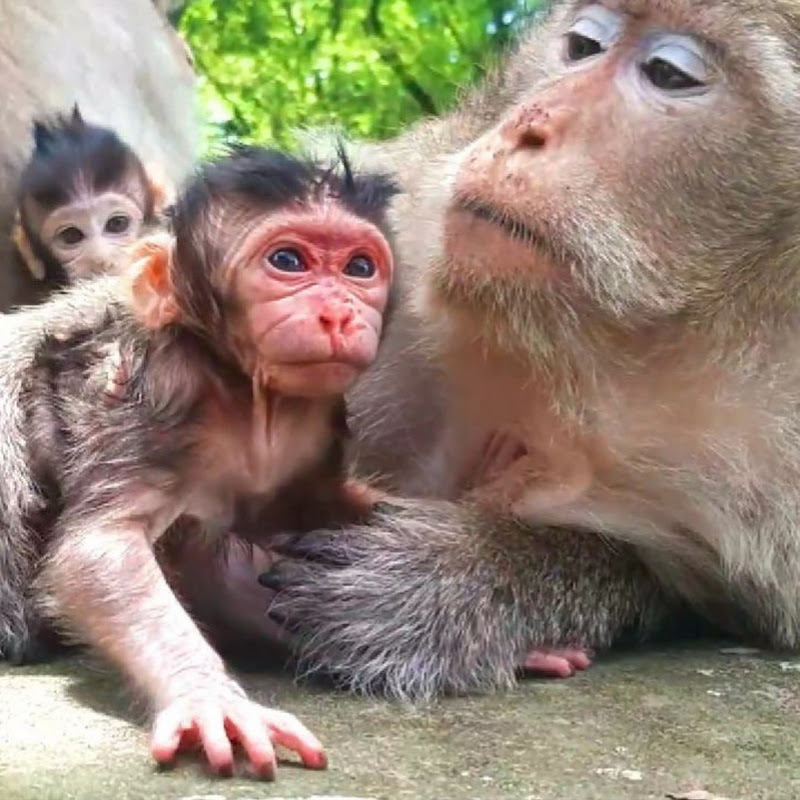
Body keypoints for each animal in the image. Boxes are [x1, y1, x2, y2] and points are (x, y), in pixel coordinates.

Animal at [0, 145, 398, 776]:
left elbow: (319, 504)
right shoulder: (159, 390)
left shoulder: (314, 422)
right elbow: (100, 551)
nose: (339, 313)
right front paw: (208, 697)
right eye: (288, 260)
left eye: (360, 268)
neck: (248, 400)